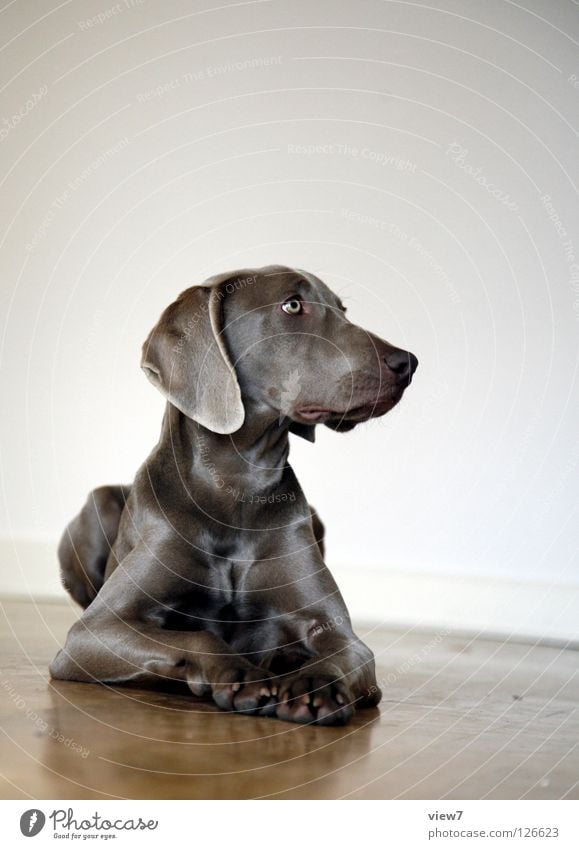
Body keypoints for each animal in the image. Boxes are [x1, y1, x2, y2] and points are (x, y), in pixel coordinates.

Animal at [51, 264, 416, 724]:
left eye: (342, 309)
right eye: (292, 305)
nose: (407, 362)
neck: (236, 488)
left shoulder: (343, 635)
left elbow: (340, 652)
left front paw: (315, 683)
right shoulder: (91, 634)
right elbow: (196, 637)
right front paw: (242, 675)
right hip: (98, 505)